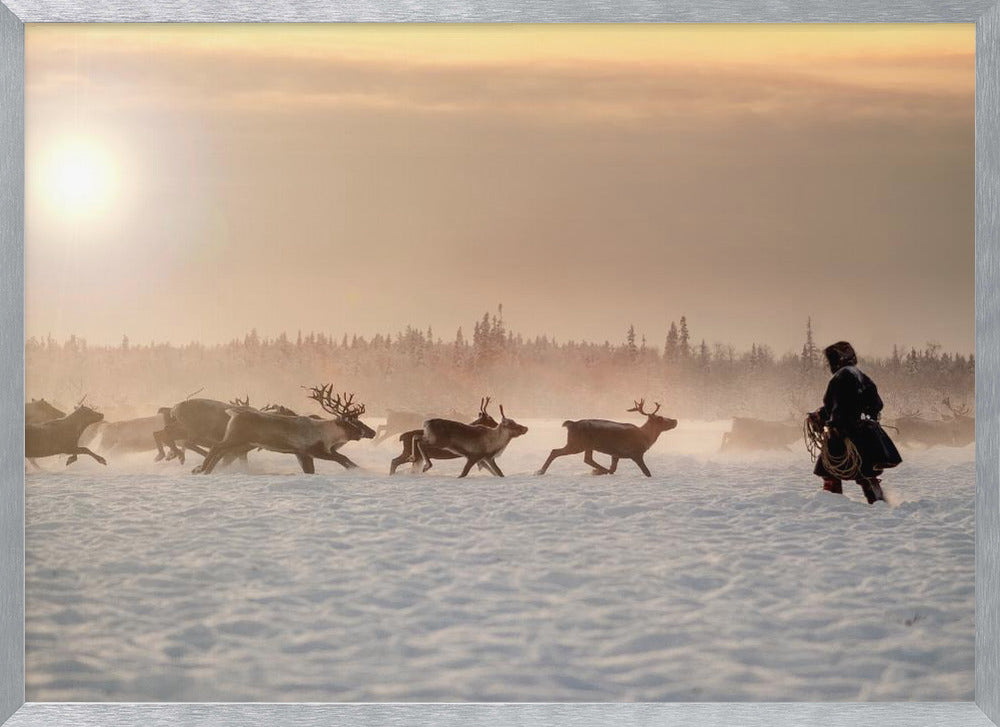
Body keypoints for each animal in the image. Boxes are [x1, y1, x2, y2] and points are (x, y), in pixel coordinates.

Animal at [197, 385, 374, 474]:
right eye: (354, 422)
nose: (372, 432)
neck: (329, 434)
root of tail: (233, 412)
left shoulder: (305, 453)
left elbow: (342, 459)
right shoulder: (313, 450)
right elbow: (342, 458)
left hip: (237, 440)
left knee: (220, 452)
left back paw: (203, 469)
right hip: (236, 437)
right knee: (216, 447)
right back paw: (203, 469)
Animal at [536, 399, 678, 477]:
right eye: (660, 418)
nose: (675, 420)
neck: (646, 437)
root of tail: (571, 424)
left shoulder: (616, 454)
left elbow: (613, 468)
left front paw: (599, 471)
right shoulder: (636, 453)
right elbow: (647, 472)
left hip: (586, 445)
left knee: (587, 459)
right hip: (577, 443)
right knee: (555, 451)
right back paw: (540, 471)